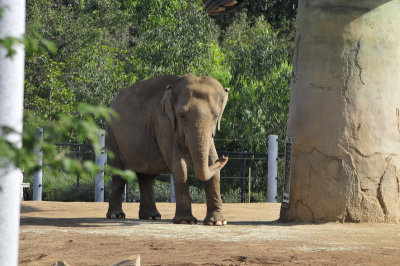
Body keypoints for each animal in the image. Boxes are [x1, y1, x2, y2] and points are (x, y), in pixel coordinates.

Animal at [105, 74, 231, 225]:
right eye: (181, 115)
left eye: (216, 115)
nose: (224, 157)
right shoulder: (164, 124)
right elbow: (180, 166)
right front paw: (185, 221)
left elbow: (211, 161)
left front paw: (218, 222)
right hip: (111, 135)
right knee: (119, 174)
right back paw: (116, 216)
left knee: (146, 177)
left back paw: (151, 217)